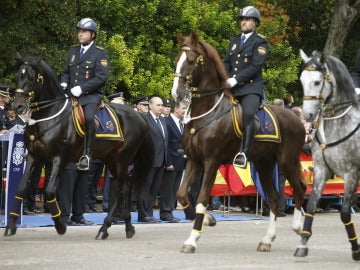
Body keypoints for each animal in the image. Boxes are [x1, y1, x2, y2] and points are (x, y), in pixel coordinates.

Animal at [4, 54, 153, 238]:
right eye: (17, 76)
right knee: (123, 188)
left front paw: (60, 225)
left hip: (122, 159)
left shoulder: (59, 158)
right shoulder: (34, 157)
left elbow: (49, 191)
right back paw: (120, 227)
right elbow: (20, 188)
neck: (48, 116)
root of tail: (140, 117)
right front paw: (11, 225)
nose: (16, 106)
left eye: (32, 78)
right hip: (111, 159)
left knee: (123, 189)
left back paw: (109, 227)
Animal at [172, 32, 306, 253]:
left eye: (190, 61)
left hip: (287, 161)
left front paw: (192, 239)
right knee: (274, 198)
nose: (176, 93)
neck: (207, 112)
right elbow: (182, 194)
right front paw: (208, 219)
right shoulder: (194, 160)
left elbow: (201, 198)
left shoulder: (211, 161)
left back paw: (298, 228)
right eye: (177, 59)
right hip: (264, 164)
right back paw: (267, 240)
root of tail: (296, 117)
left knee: (300, 189)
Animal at [294, 49, 360, 260]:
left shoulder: (351, 174)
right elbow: (311, 205)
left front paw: (355, 249)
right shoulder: (321, 170)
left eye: (317, 82)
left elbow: (345, 213)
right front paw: (303, 244)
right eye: (302, 80)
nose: (308, 116)